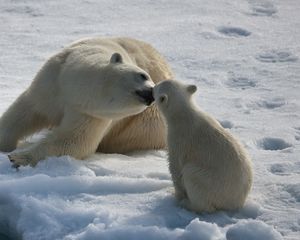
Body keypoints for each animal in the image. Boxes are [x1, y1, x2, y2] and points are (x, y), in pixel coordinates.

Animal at [0, 37, 173, 167]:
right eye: (143, 75)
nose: (151, 94)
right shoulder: (52, 82)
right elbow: (25, 112)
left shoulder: (91, 114)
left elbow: (73, 141)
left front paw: (18, 157)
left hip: (146, 127)